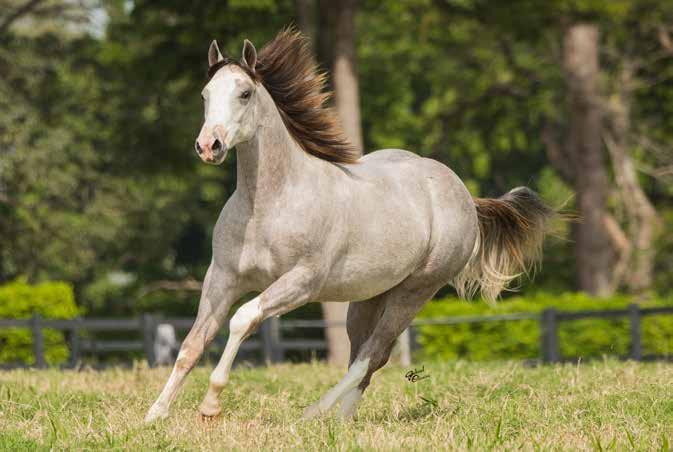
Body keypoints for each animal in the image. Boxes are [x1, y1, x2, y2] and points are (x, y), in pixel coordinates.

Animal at [144, 29, 548, 424]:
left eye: (244, 93)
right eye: (205, 94)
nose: (208, 146)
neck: (268, 206)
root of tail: (465, 196)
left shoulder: (301, 283)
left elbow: (242, 320)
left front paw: (210, 405)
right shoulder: (222, 278)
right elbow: (192, 344)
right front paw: (155, 414)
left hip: (415, 291)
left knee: (372, 355)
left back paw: (314, 414)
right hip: (369, 297)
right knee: (365, 357)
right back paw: (342, 422)